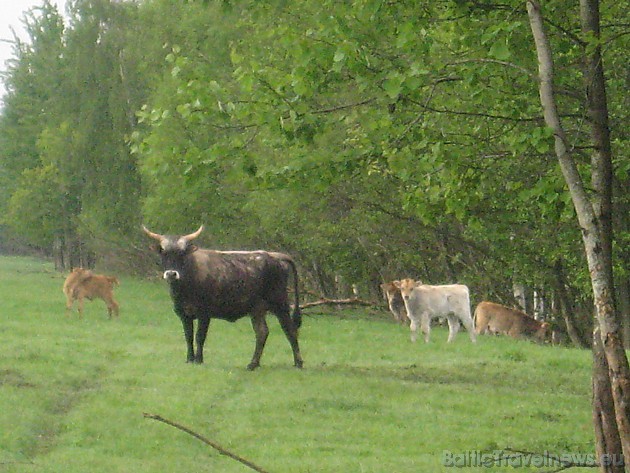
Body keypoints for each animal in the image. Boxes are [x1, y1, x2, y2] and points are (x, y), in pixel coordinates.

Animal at [143, 225, 304, 368]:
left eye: (182, 253)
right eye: (163, 253)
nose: (171, 274)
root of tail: (275, 256)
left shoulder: (204, 313)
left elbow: (199, 336)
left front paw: (199, 360)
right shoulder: (184, 314)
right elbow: (188, 337)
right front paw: (189, 359)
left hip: (280, 304)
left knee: (290, 330)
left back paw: (298, 363)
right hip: (257, 309)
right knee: (262, 332)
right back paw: (253, 364)